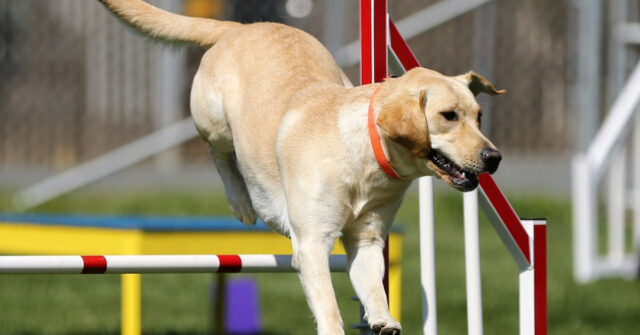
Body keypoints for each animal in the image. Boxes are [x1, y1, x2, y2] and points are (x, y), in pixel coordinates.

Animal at [97, 1, 502, 334]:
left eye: (479, 116)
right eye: (448, 116)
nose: (494, 158)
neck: (365, 158)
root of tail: (240, 27)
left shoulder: (367, 239)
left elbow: (374, 287)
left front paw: (382, 319)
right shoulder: (311, 244)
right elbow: (329, 307)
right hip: (214, 121)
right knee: (218, 153)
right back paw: (241, 202)